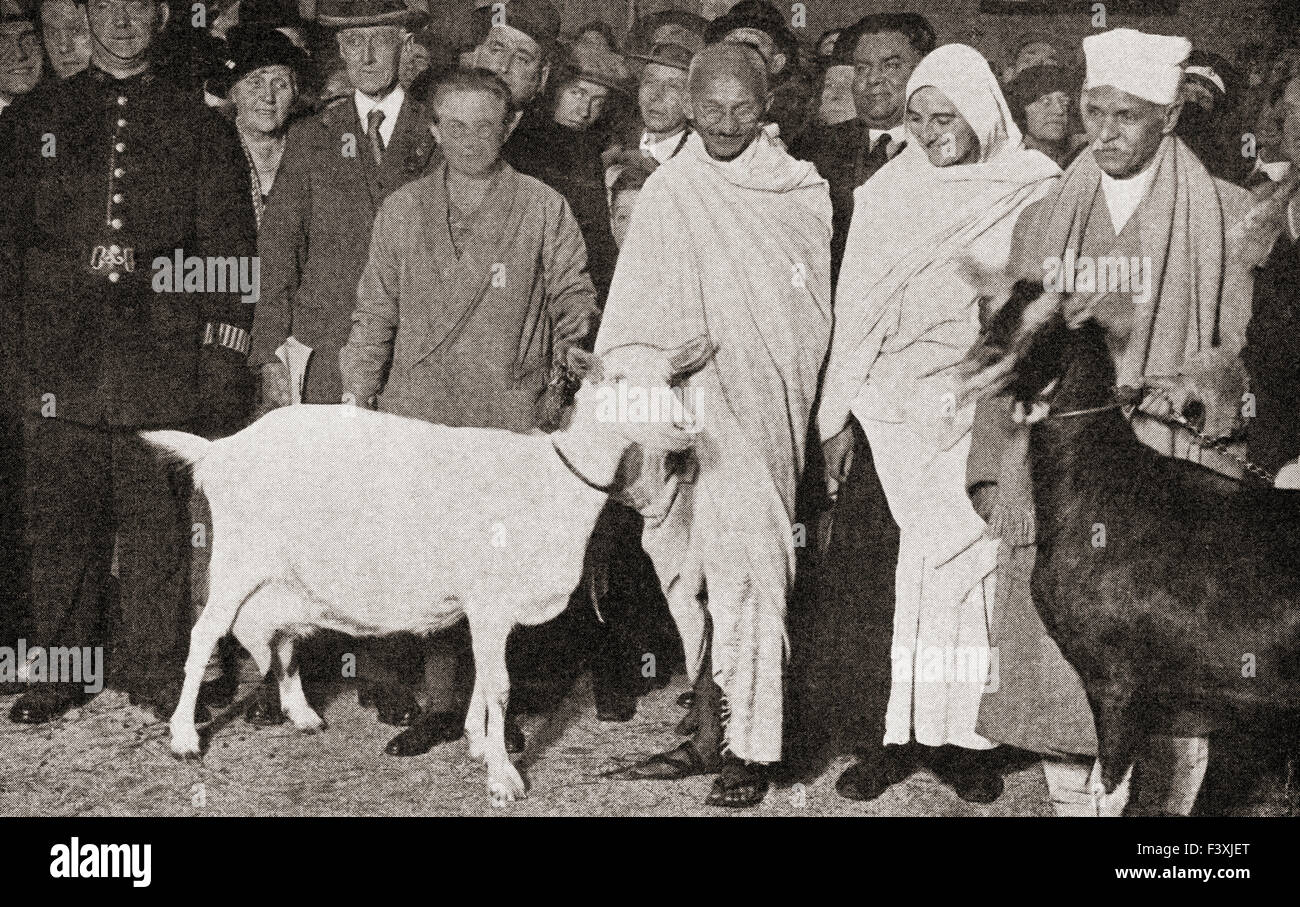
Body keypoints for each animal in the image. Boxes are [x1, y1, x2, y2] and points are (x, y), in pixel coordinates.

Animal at [144, 337, 712, 800]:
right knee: (206, 633)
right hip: (237, 559)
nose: (683, 430)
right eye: (616, 379)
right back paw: (185, 737)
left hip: (283, 576)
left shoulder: (489, 610)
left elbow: (483, 678)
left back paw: (302, 714)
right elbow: (499, 685)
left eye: (673, 379)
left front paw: (479, 744)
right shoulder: (489, 601)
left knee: (278, 636)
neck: (553, 478)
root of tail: (222, 448)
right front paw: (504, 778)